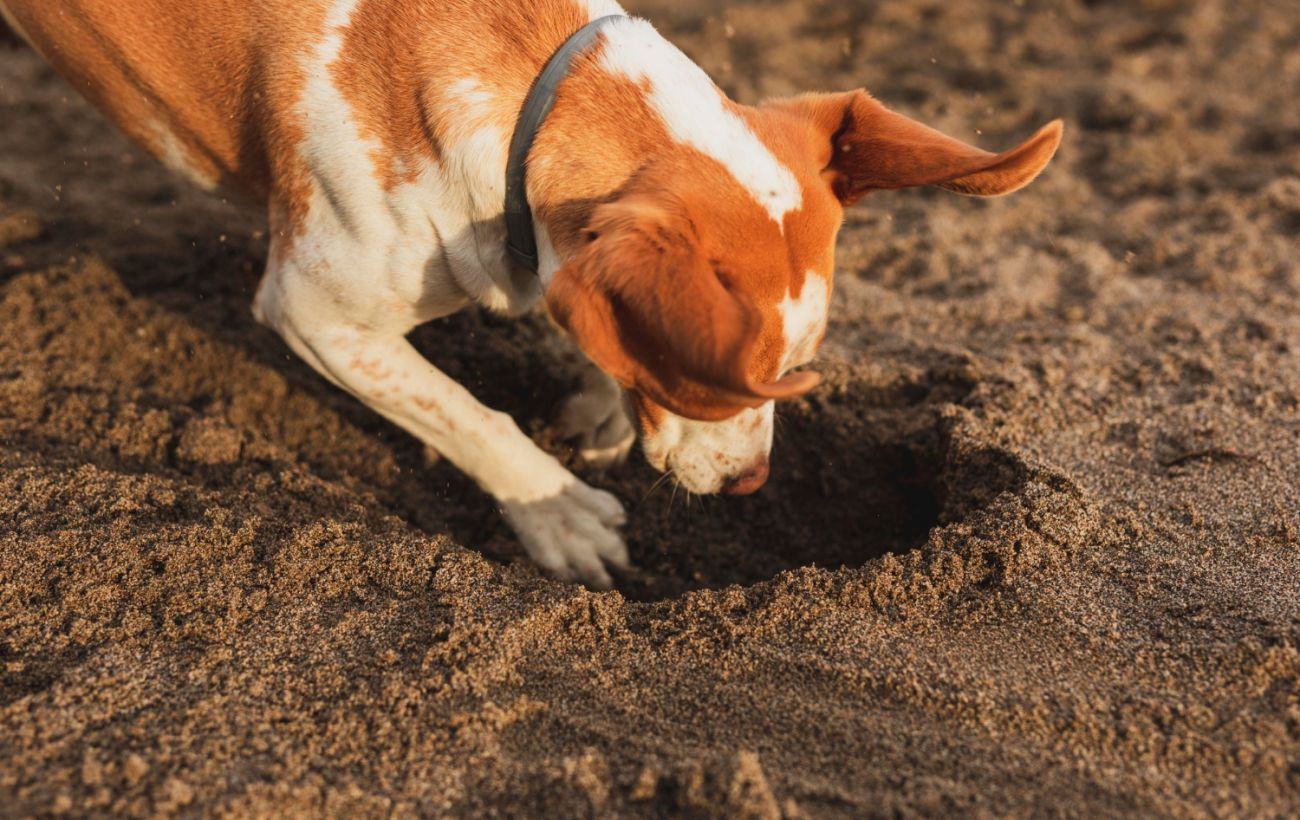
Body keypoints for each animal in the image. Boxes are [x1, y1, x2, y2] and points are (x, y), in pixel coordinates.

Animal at [0, 0, 1060, 589]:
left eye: (803, 368)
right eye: (732, 384)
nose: (752, 485)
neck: (532, 86)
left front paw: (599, 409)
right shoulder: (315, 313)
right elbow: (465, 412)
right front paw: (559, 512)